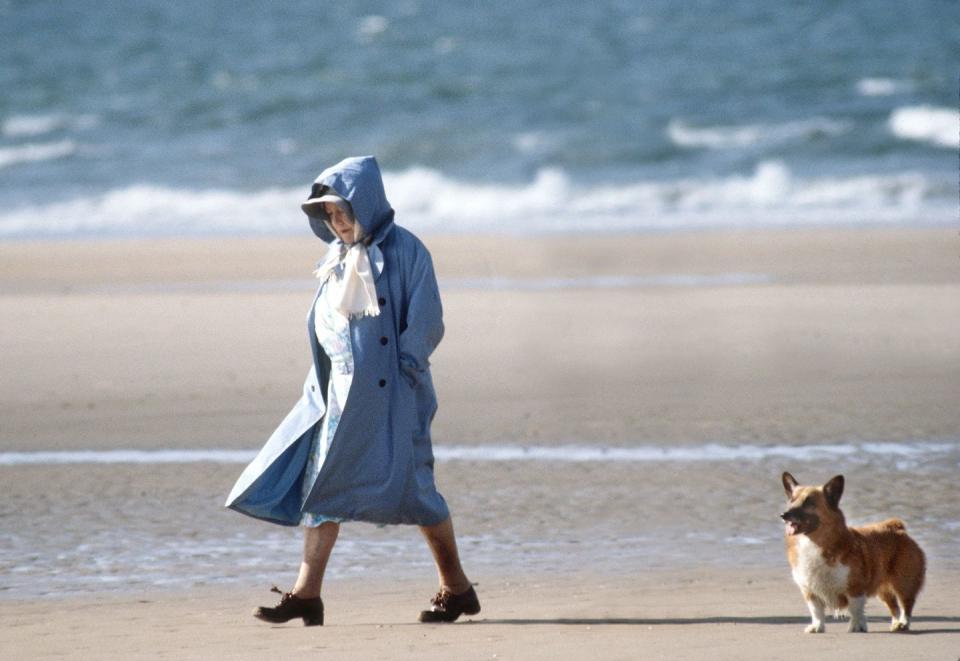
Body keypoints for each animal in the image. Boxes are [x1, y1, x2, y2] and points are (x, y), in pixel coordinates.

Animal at [784, 472, 928, 632]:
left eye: (809, 502)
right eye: (791, 501)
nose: (783, 515)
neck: (813, 542)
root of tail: (898, 528)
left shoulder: (855, 588)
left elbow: (855, 609)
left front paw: (857, 626)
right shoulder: (810, 591)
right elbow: (816, 611)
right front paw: (817, 627)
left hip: (904, 583)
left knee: (906, 605)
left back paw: (904, 623)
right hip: (883, 589)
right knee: (893, 606)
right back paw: (896, 624)